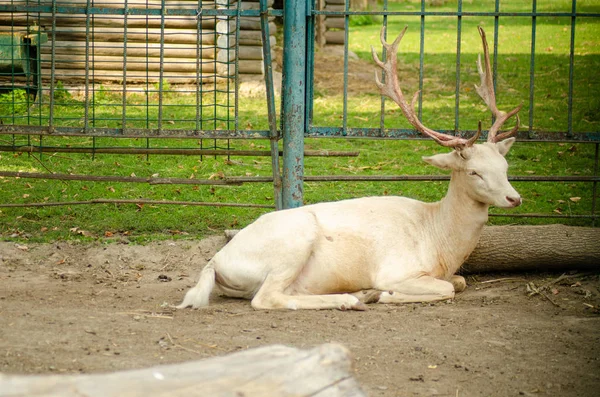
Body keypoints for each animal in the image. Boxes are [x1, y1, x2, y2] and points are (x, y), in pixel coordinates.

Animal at [176, 27, 524, 312]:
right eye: (474, 172)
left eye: (505, 165)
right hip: (293, 243)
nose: (514, 198)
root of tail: (215, 262)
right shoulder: (396, 269)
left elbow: (459, 283)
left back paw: (356, 295)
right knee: (266, 298)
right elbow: (445, 289)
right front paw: (384, 295)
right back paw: (352, 298)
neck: (439, 242)